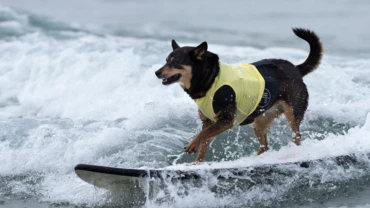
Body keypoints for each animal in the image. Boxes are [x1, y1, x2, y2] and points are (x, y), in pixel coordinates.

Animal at [155, 28, 322, 163]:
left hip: (293, 113)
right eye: (166, 61)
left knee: (297, 137)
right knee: (265, 146)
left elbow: (204, 134)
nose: (156, 72)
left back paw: (295, 153)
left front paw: (192, 145)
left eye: (175, 62)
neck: (210, 78)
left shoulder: (226, 120)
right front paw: (197, 162)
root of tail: (296, 68)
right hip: (260, 121)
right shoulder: (209, 121)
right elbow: (205, 140)